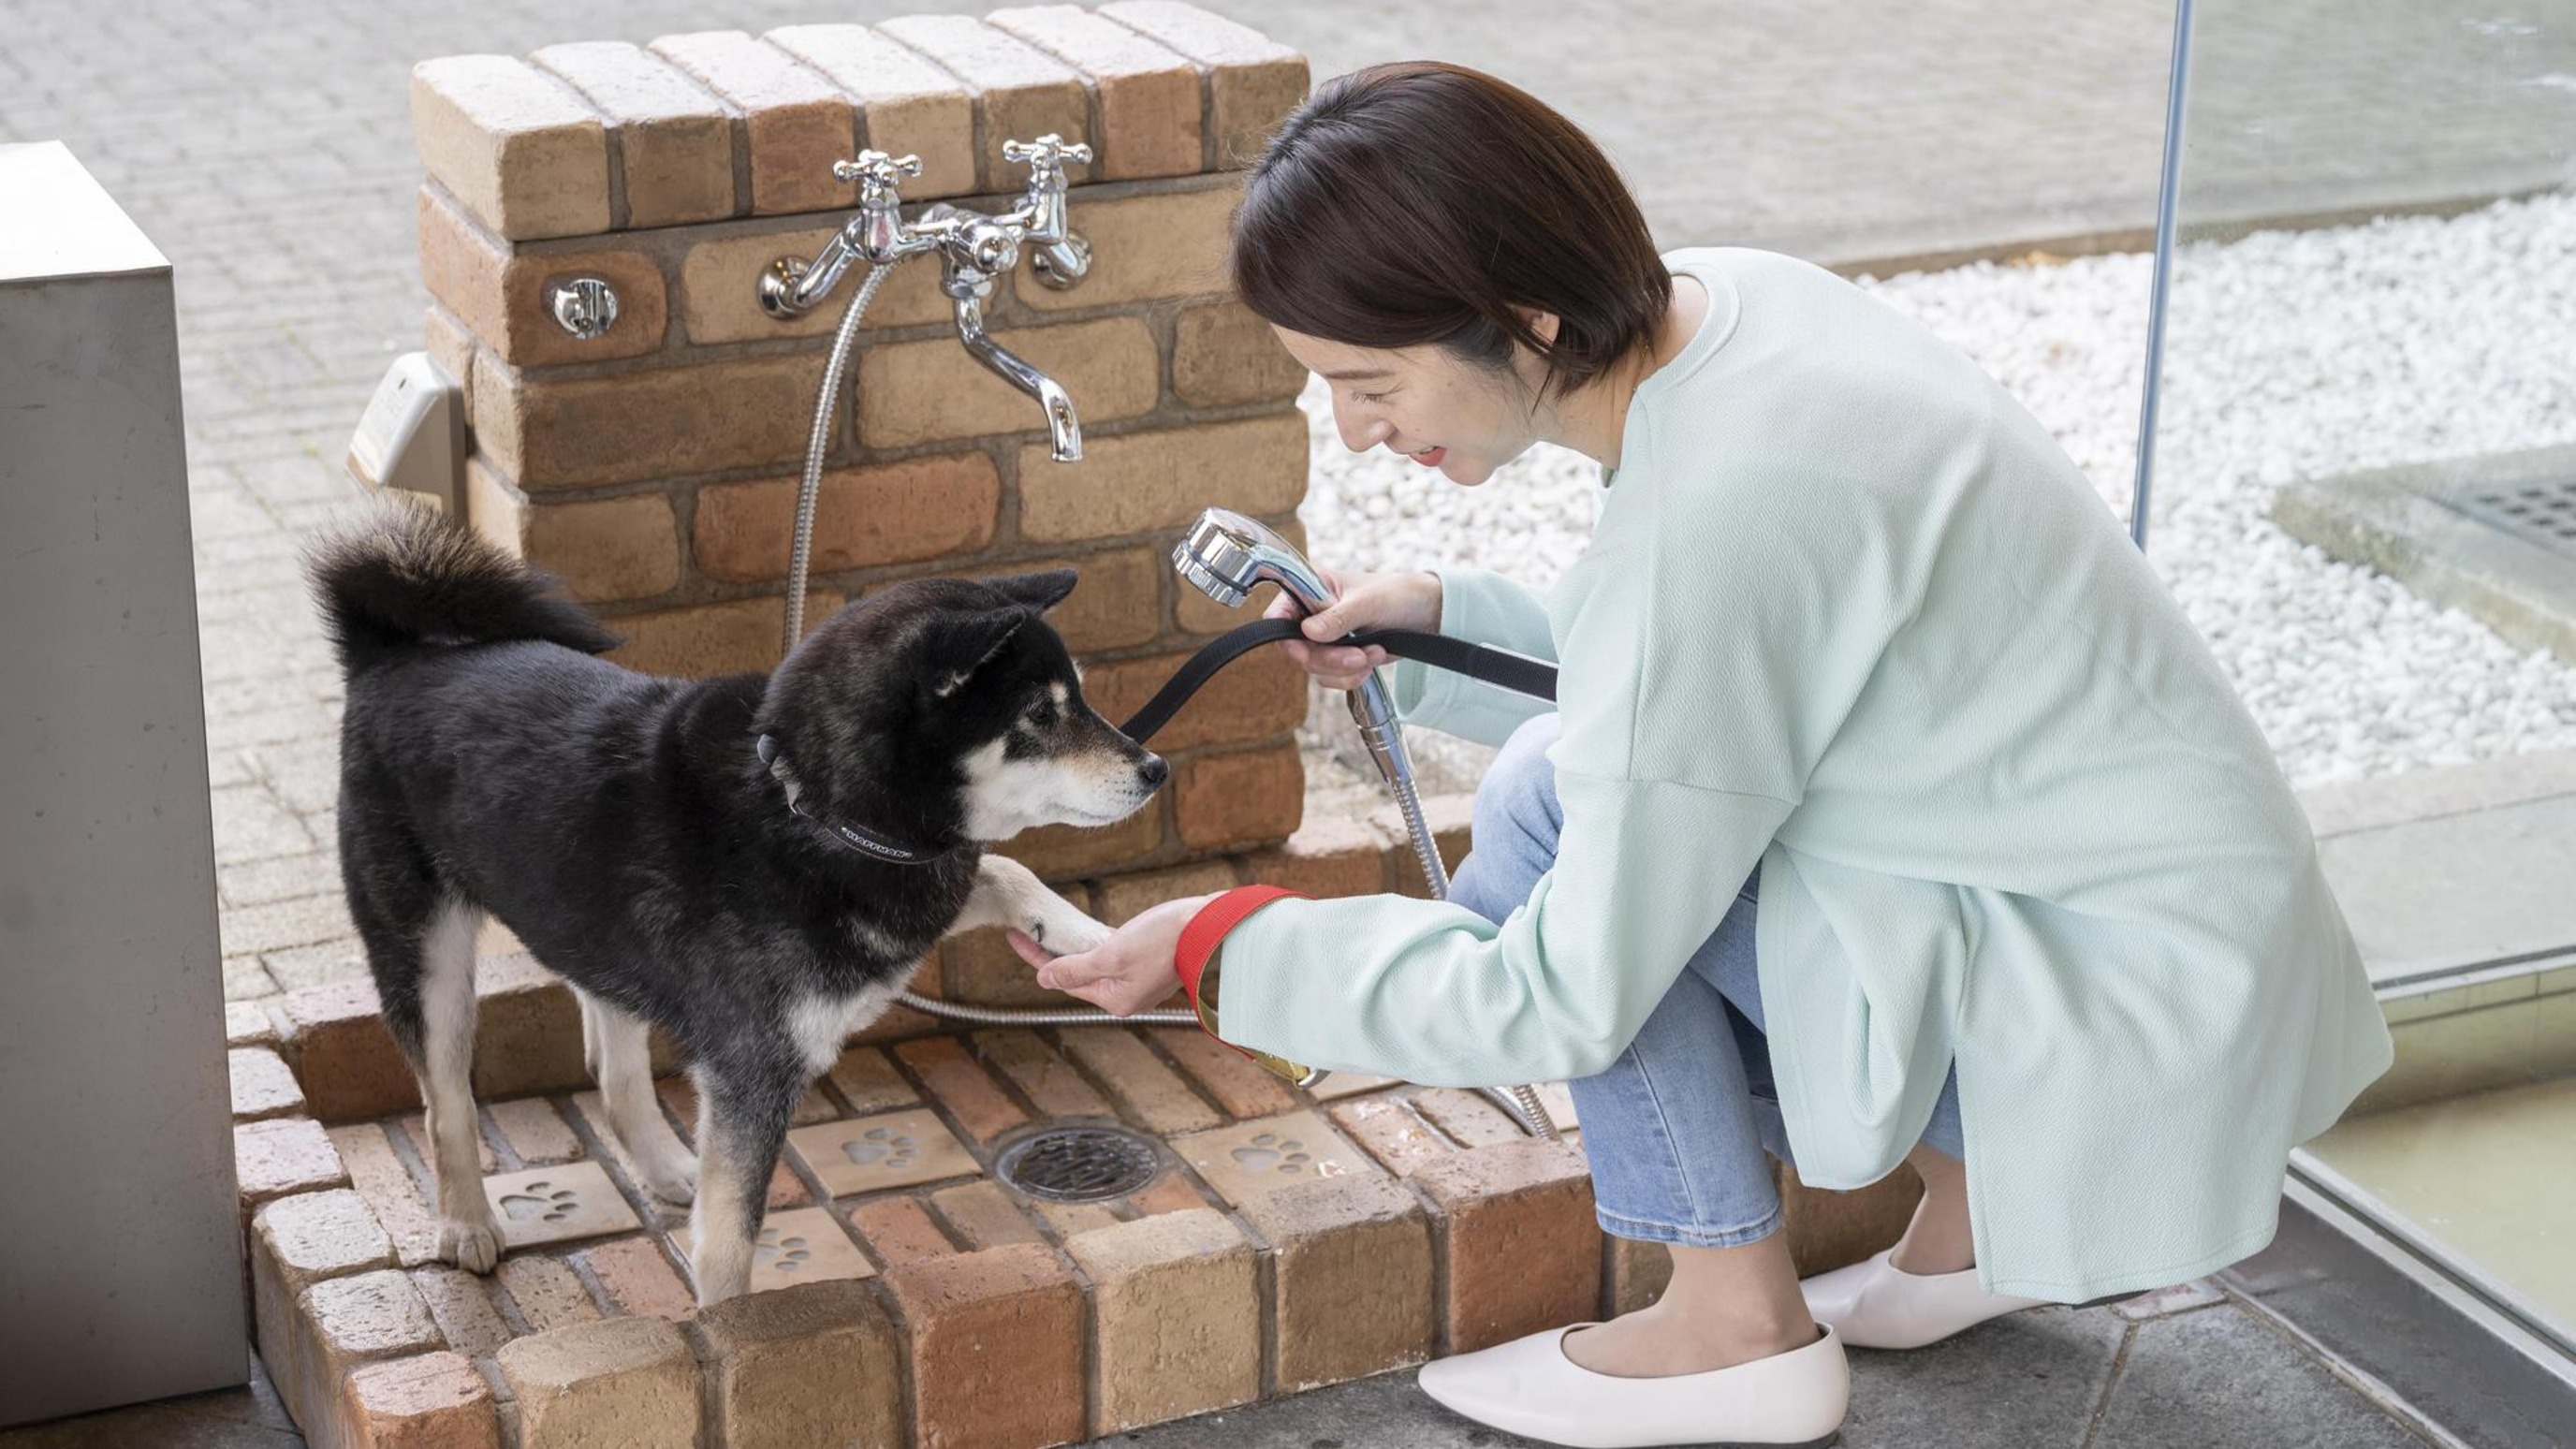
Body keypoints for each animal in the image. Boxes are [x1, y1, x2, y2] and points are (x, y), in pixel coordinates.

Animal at [300, 503, 1169, 1304]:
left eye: (1079, 699)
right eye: (1040, 716)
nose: (1155, 767)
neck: (810, 808)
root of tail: (391, 655)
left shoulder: (919, 883)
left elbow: (1007, 870)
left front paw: (1089, 936)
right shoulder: (754, 1072)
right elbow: (728, 1245)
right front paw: (732, 1342)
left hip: (594, 929)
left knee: (613, 1074)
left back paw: (662, 1166)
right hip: (429, 956)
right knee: (446, 1101)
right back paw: (467, 1224)